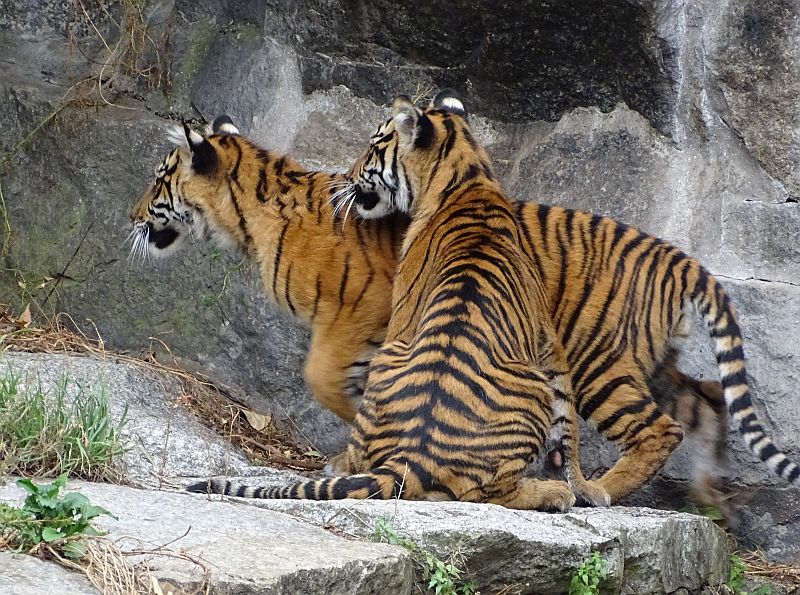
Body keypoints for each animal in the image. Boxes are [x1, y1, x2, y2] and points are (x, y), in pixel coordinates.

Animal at [186, 91, 612, 510]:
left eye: (373, 147)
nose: (346, 176)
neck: (469, 176)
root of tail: (415, 457)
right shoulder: (543, 336)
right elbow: (566, 411)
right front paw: (583, 485)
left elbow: (566, 413)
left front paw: (581, 486)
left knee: (490, 492)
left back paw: (549, 492)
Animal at [332, 89, 800, 508]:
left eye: (374, 145)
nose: (346, 177)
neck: (468, 175)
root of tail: (680, 260)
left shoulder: (404, 320)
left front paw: (343, 463)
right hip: (652, 364)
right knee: (706, 401)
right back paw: (709, 497)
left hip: (598, 362)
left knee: (658, 430)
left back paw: (598, 491)